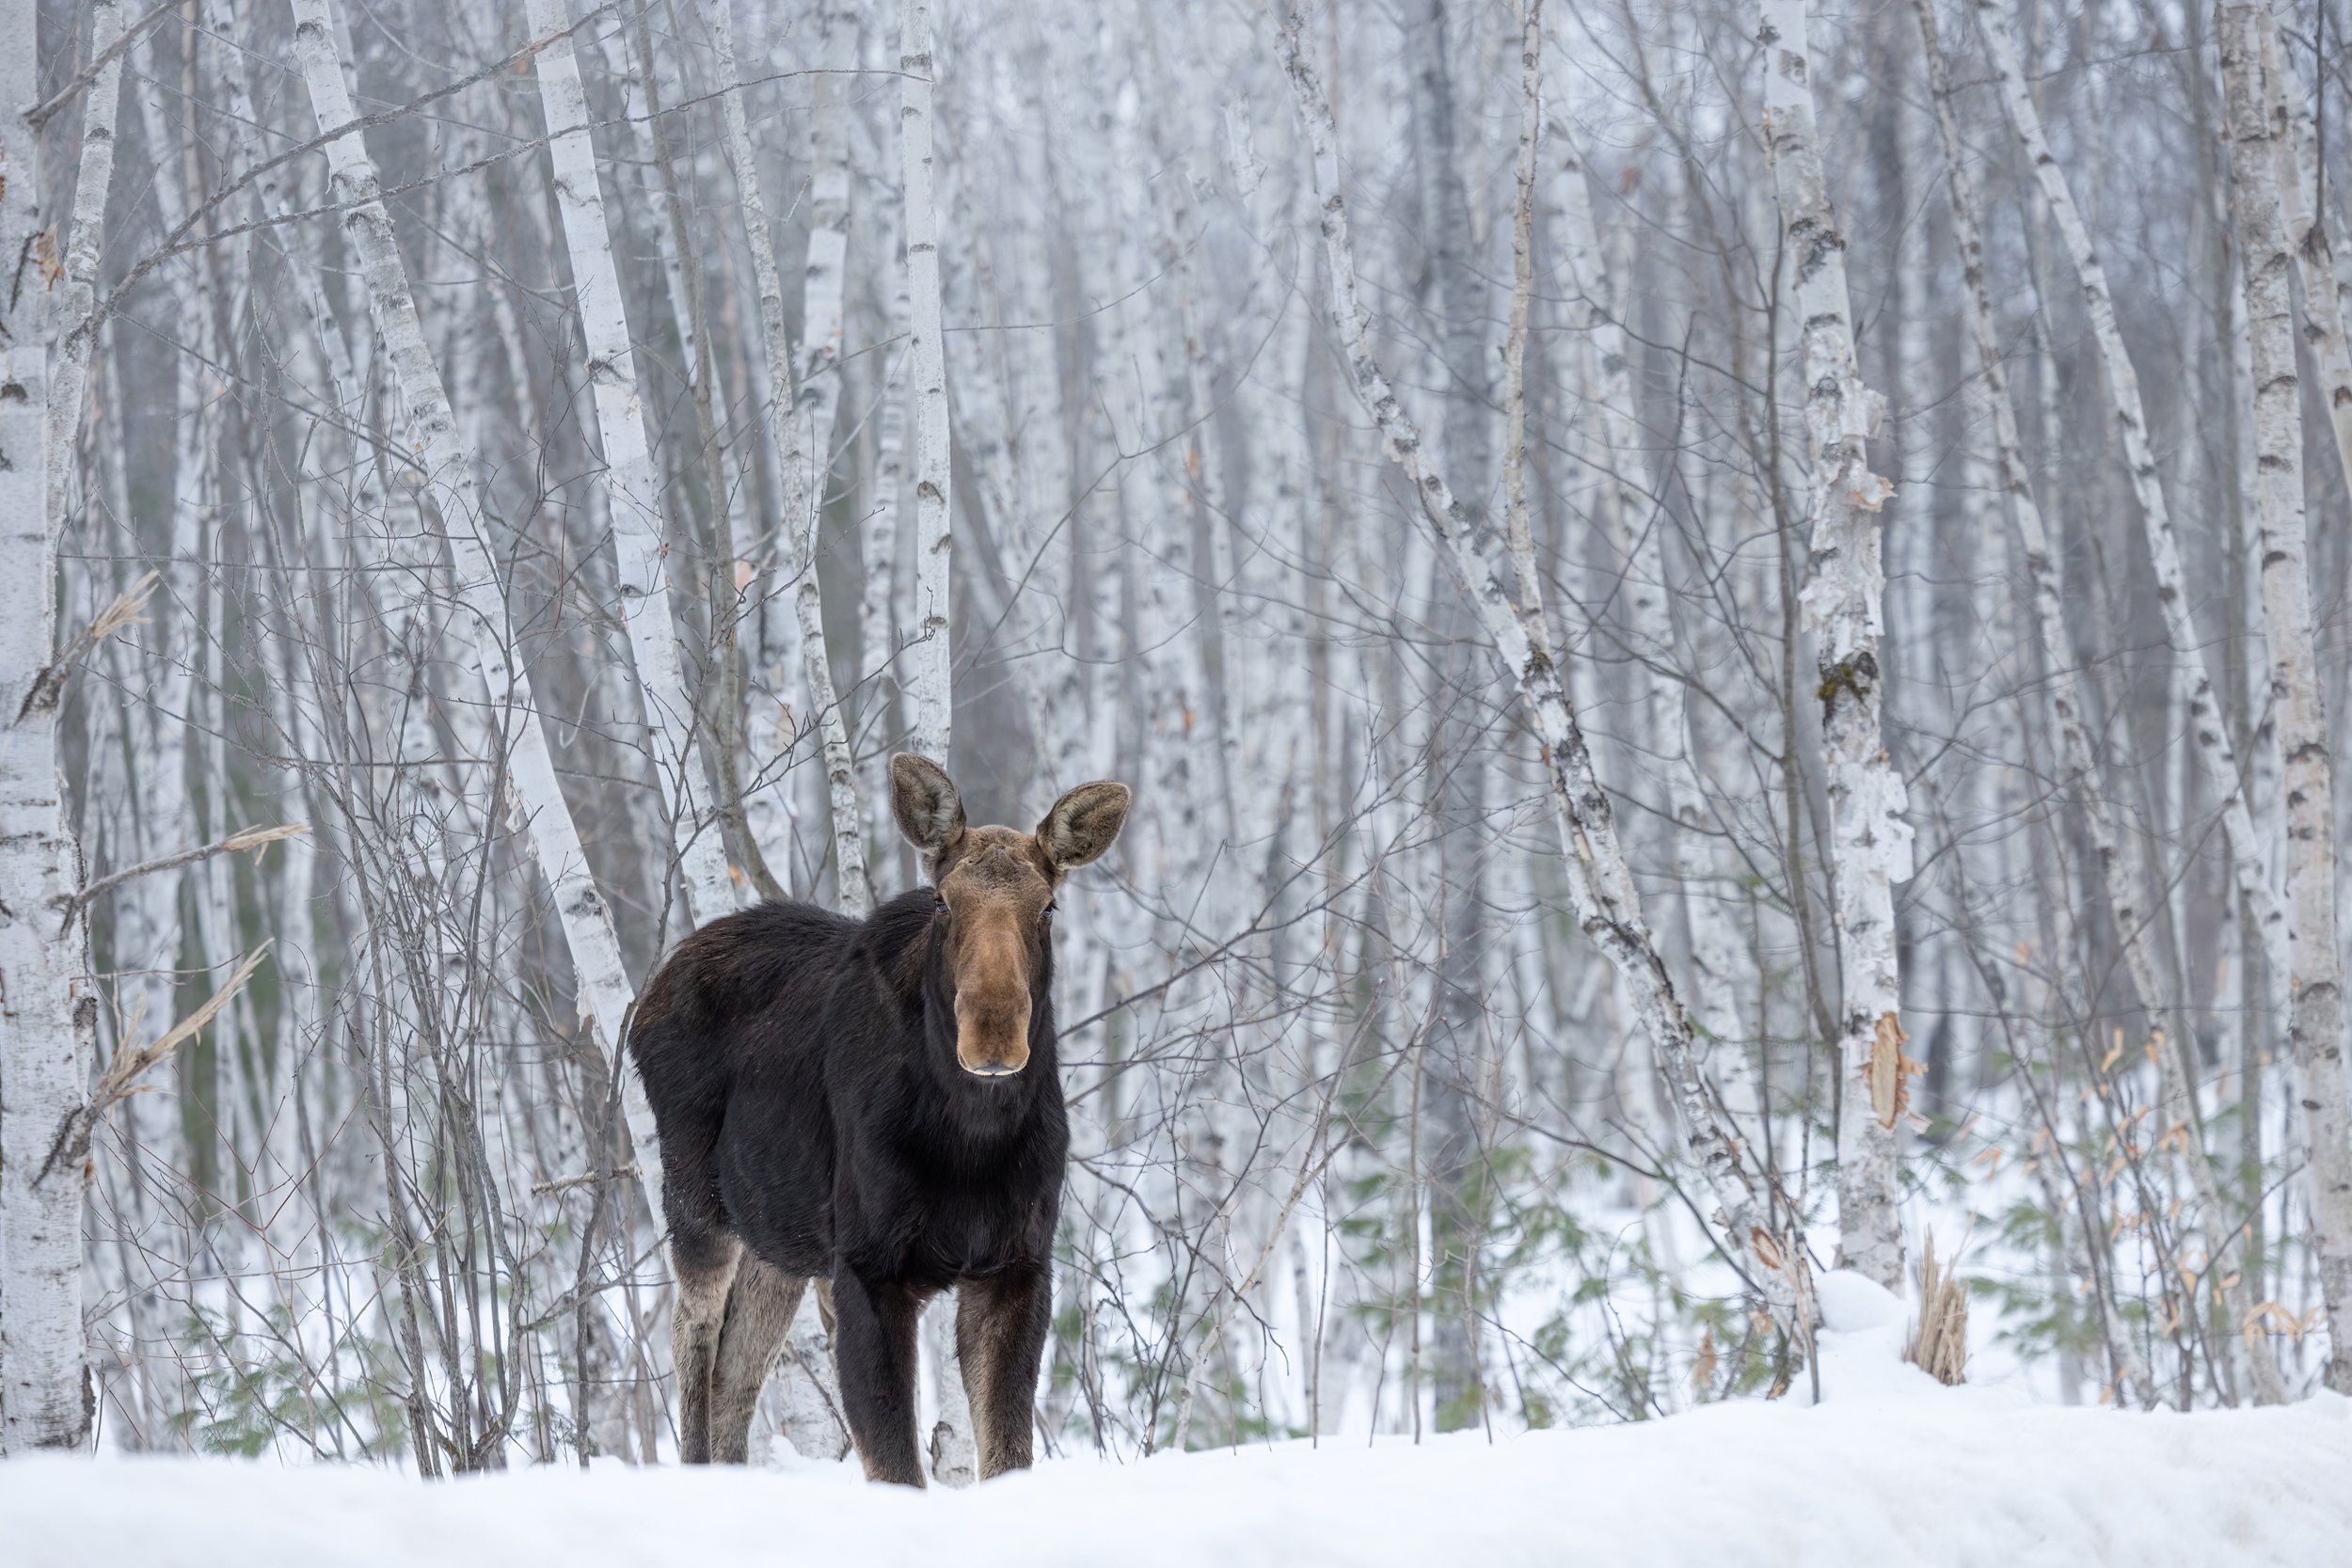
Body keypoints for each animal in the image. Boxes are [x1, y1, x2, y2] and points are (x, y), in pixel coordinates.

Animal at [627, 754, 1132, 1484]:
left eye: (1047, 906)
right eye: (944, 901)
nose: (993, 1035)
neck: (971, 1136)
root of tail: (647, 997)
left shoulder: (1016, 1265)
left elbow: (1005, 1453)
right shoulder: (869, 1268)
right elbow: (897, 1462)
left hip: (777, 1241)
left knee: (737, 1371)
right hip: (696, 1204)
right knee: (691, 1336)